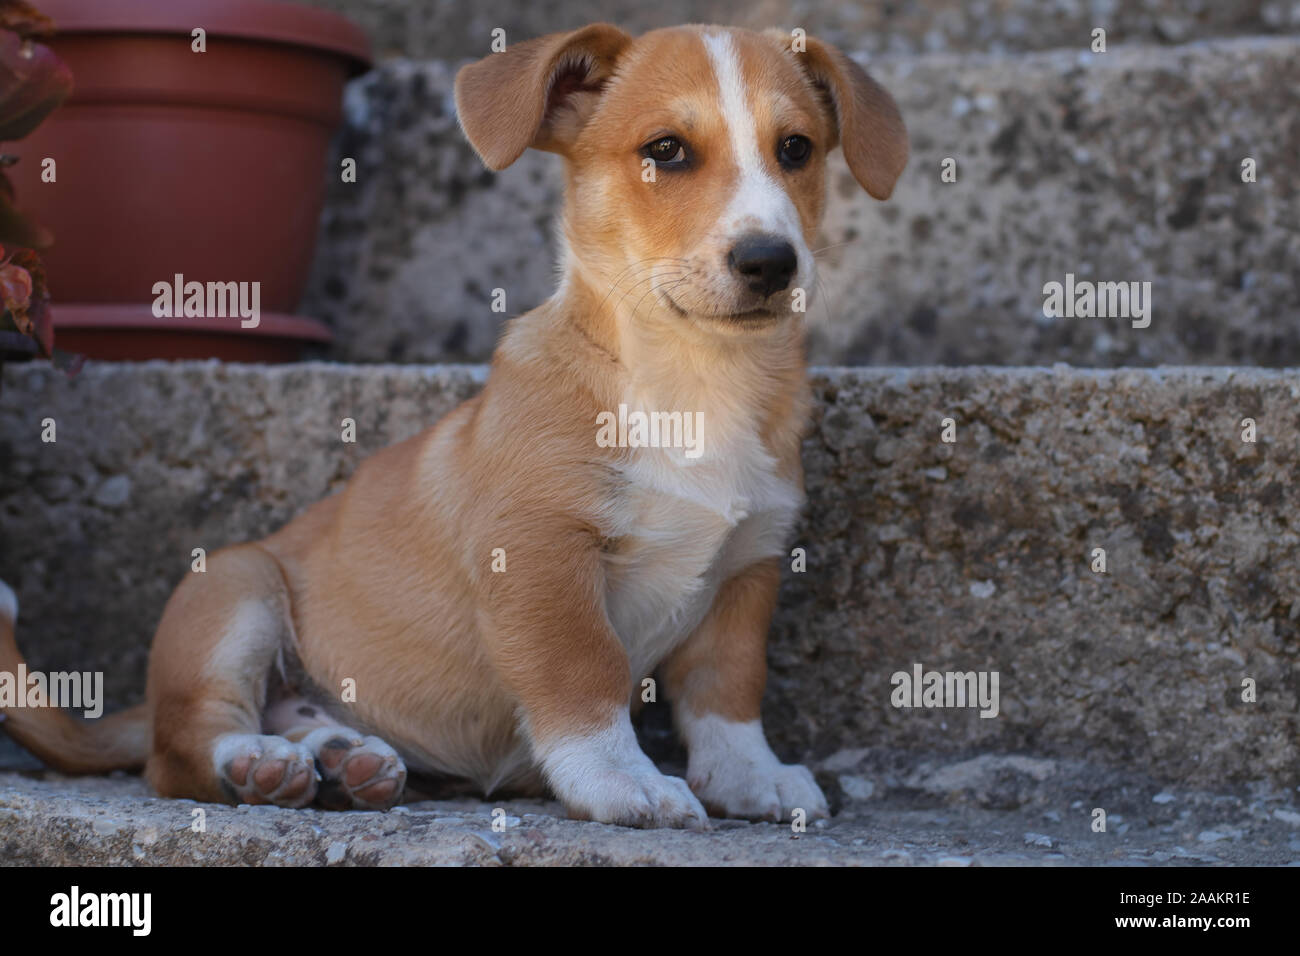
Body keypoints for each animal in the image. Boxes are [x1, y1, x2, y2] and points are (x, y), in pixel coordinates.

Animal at [0, 24, 909, 832]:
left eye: (796, 150)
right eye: (668, 150)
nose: (770, 263)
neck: (692, 381)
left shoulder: (748, 565)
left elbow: (728, 692)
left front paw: (750, 778)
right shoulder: (541, 554)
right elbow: (587, 675)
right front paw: (624, 783)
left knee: (286, 716)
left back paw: (341, 758)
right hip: (235, 587)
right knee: (182, 747)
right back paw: (256, 764)